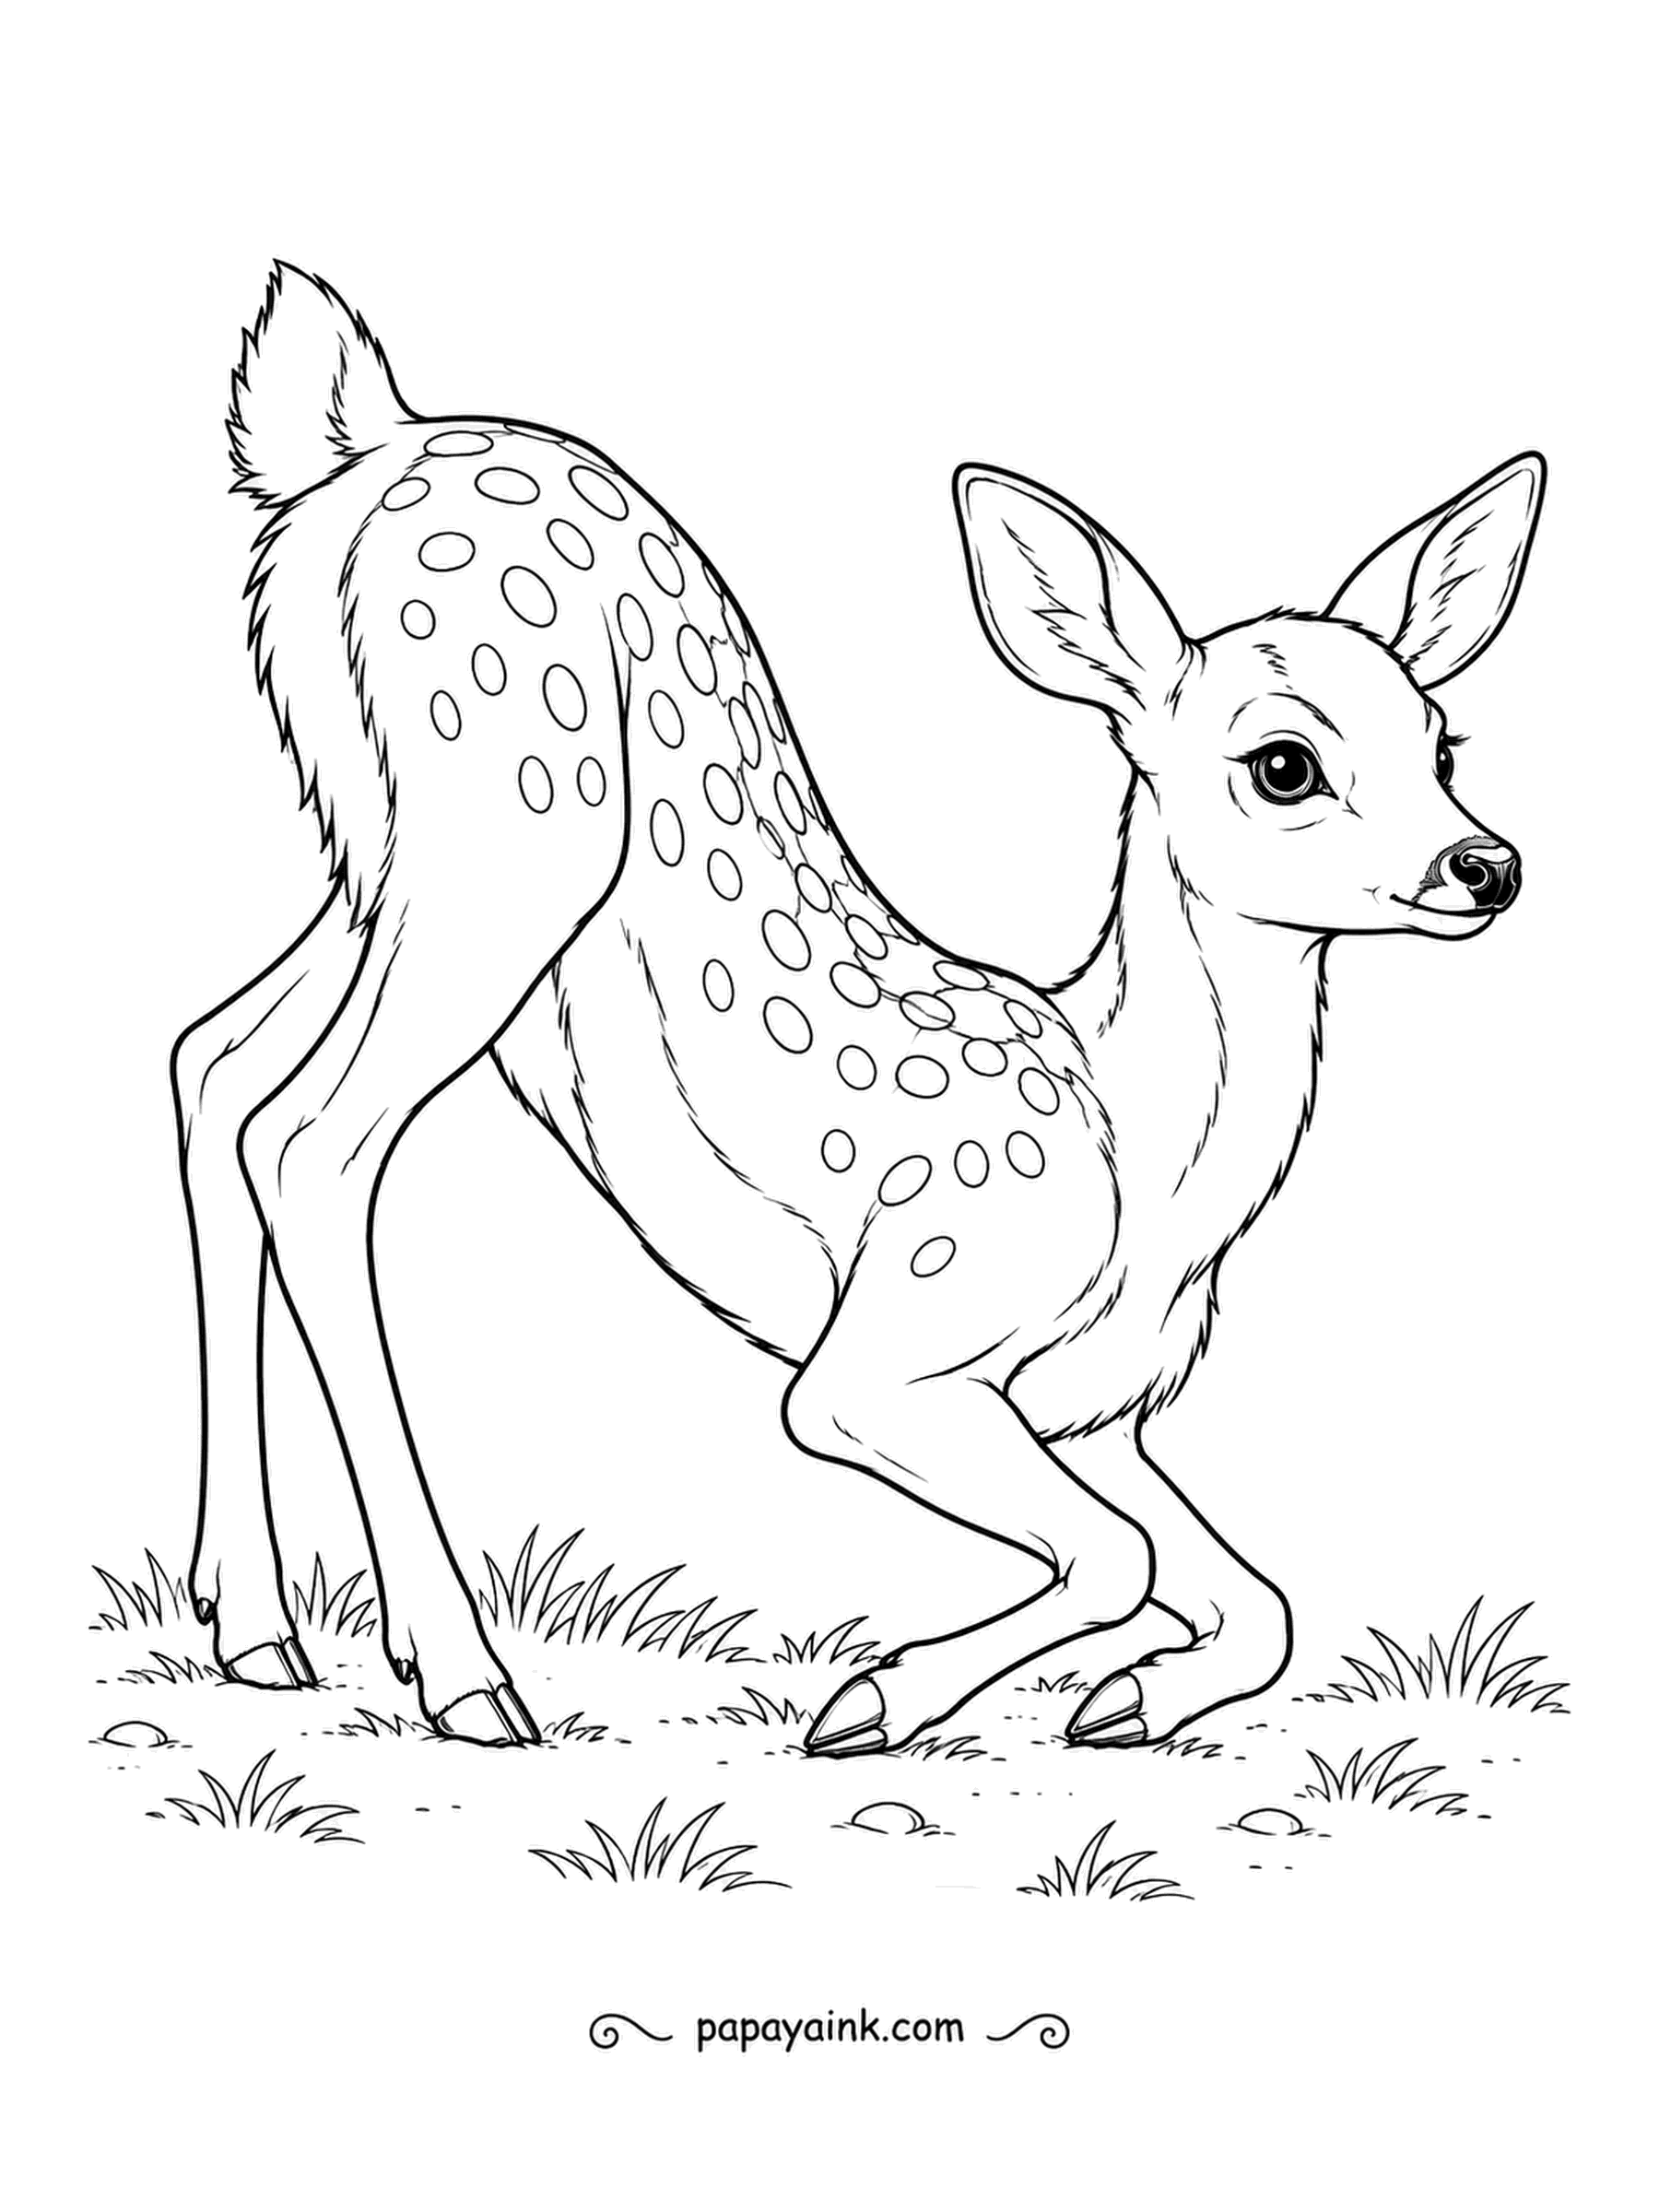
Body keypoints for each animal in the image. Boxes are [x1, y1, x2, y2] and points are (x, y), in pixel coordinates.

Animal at [173, 263, 1543, 1752]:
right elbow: (1115, 1557)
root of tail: (365, 438)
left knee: (217, 1060)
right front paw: (876, 1697)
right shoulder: (890, 1345)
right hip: (508, 821)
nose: (1486, 865)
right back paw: (467, 1678)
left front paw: (1124, 1702)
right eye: (1283, 763)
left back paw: (252, 1627)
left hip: (377, 850)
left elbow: (1254, 1600)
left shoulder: (1090, 1417)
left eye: (1445, 741)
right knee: (313, 1137)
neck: (1144, 1160)